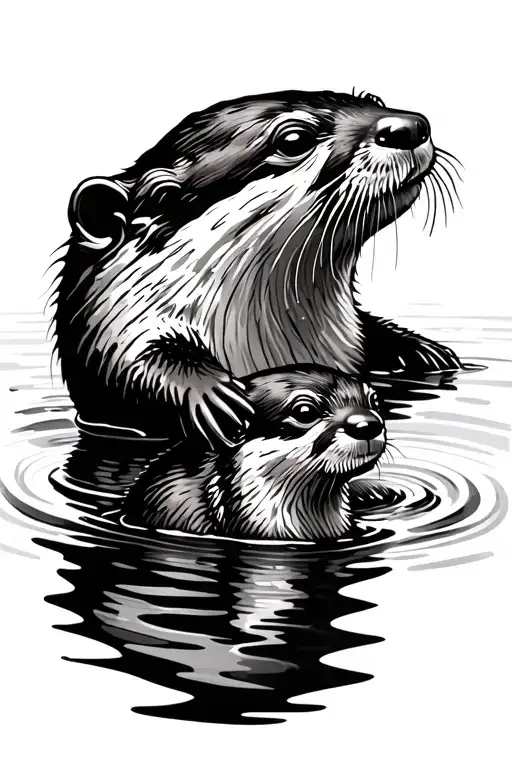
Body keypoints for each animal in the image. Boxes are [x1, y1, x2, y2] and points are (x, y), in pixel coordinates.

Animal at [54, 89, 461, 445]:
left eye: (373, 100)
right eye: (294, 140)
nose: (410, 126)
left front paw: (422, 351)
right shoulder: (112, 335)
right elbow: (127, 363)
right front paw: (210, 394)